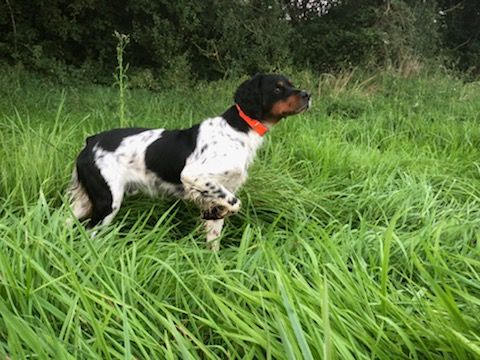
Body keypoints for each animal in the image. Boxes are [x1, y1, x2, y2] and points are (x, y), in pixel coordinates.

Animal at [69, 73, 312, 250]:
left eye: (291, 83)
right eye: (278, 88)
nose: (308, 95)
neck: (238, 129)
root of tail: (90, 142)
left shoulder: (224, 188)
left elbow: (214, 235)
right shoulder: (194, 175)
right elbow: (235, 204)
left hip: (84, 203)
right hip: (107, 202)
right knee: (88, 234)